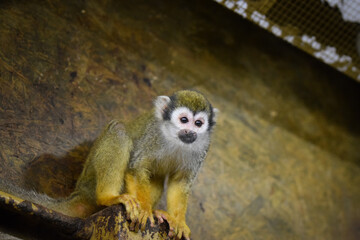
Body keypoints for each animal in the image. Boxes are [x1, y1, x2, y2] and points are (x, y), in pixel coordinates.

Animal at [0, 90, 219, 240]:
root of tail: (79, 193)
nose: (190, 132)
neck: (174, 137)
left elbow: (180, 182)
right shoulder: (153, 134)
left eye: (198, 123)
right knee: (119, 131)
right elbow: (136, 168)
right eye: (184, 120)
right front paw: (145, 210)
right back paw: (109, 197)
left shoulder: (203, 147)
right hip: (90, 180)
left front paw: (178, 221)